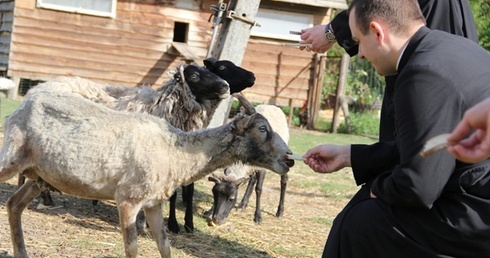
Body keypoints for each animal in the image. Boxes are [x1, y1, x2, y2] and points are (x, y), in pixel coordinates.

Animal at [0, 91, 292, 256]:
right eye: (263, 129)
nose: (289, 159)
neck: (176, 150)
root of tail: (25, 102)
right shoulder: (129, 200)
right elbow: (132, 249)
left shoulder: (153, 203)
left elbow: (164, 245)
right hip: (11, 157)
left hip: (40, 176)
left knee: (14, 205)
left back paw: (22, 252)